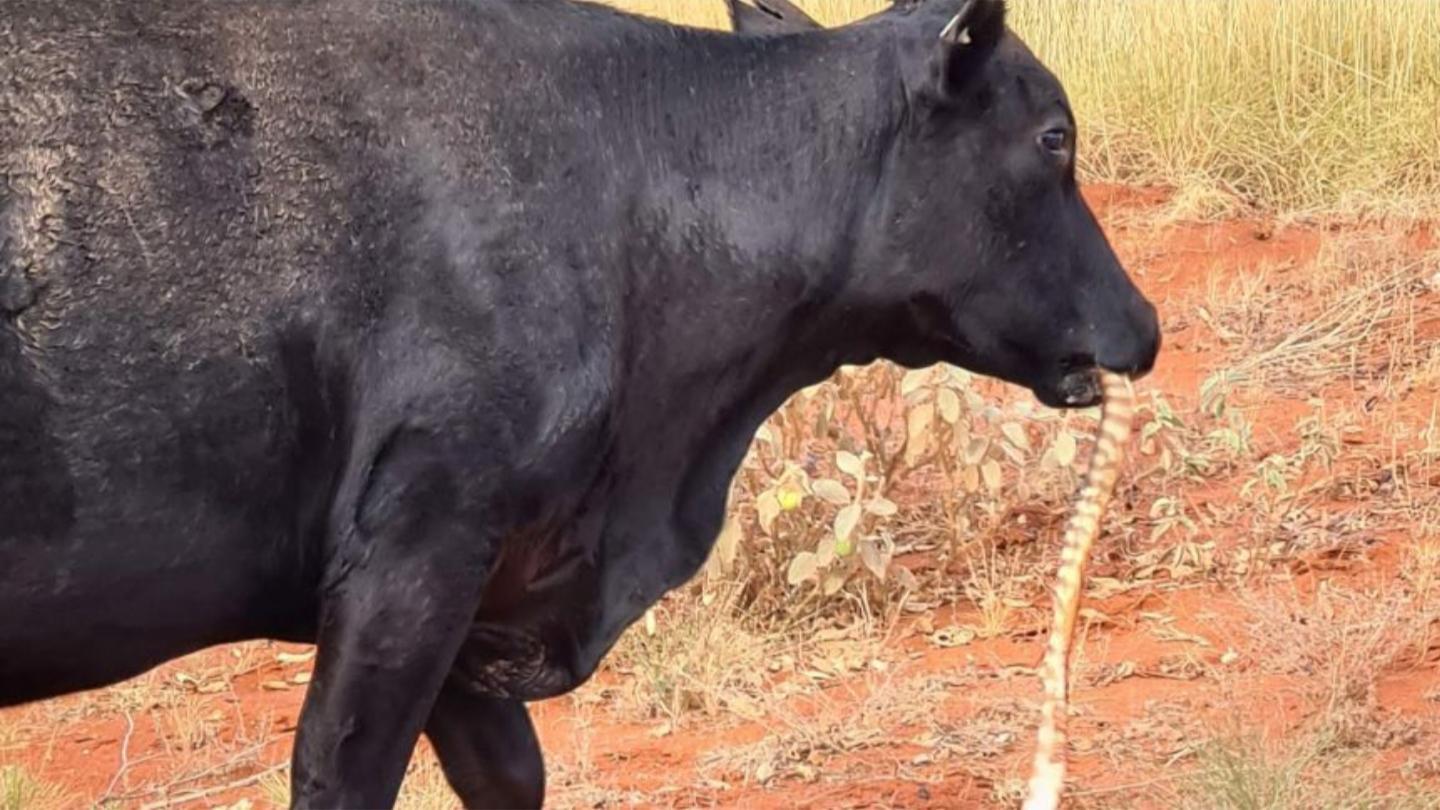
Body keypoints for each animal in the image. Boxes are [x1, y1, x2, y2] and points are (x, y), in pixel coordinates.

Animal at [2, 0, 1157, 801]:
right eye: (1055, 137)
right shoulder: (417, 550)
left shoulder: (477, 601)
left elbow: (512, 776)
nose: (1144, 325)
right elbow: (340, 772)